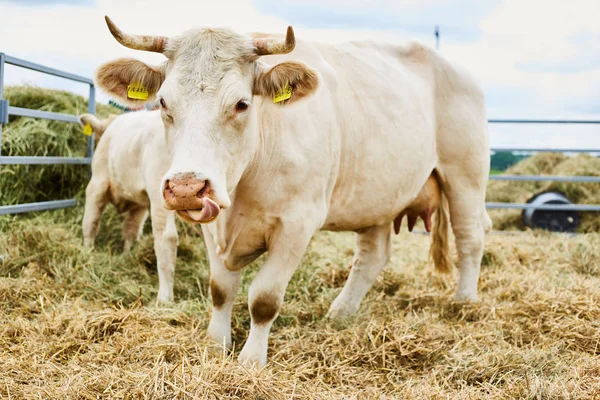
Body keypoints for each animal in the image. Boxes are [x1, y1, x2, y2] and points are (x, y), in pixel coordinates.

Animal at [82, 110, 180, 304]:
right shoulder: (139, 204)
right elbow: (131, 230)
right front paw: (126, 255)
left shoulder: (97, 183)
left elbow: (90, 221)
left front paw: (87, 251)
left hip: (159, 192)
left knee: (167, 237)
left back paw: (164, 298)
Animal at [95, 17, 492, 368]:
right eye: (163, 102)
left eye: (241, 103)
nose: (185, 188)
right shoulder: (213, 223)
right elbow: (220, 288)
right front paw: (215, 344)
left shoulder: (297, 223)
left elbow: (264, 298)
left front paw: (251, 360)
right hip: (380, 194)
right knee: (372, 257)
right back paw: (339, 313)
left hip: (466, 177)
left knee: (470, 238)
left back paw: (464, 302)